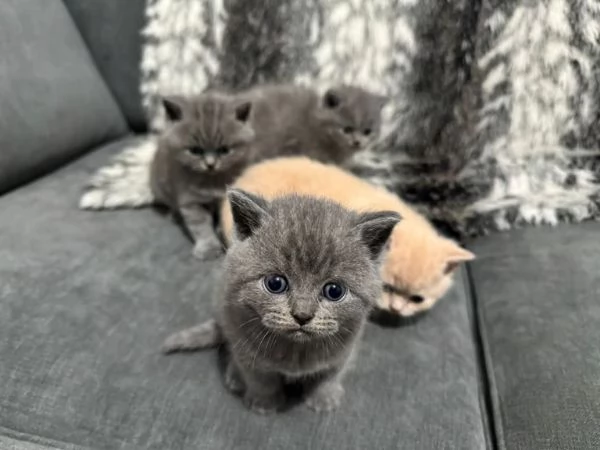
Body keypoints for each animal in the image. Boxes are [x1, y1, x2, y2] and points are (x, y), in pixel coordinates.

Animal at [162, 188, 400, 414]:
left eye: (334, 291)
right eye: (275, 283)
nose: (302, 315)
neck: (295, 352)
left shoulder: (347, 347)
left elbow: (331, 373)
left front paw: (324, 397)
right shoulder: (243, 344)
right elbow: (260, 377)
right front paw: (264, 402)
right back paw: (235, 377)